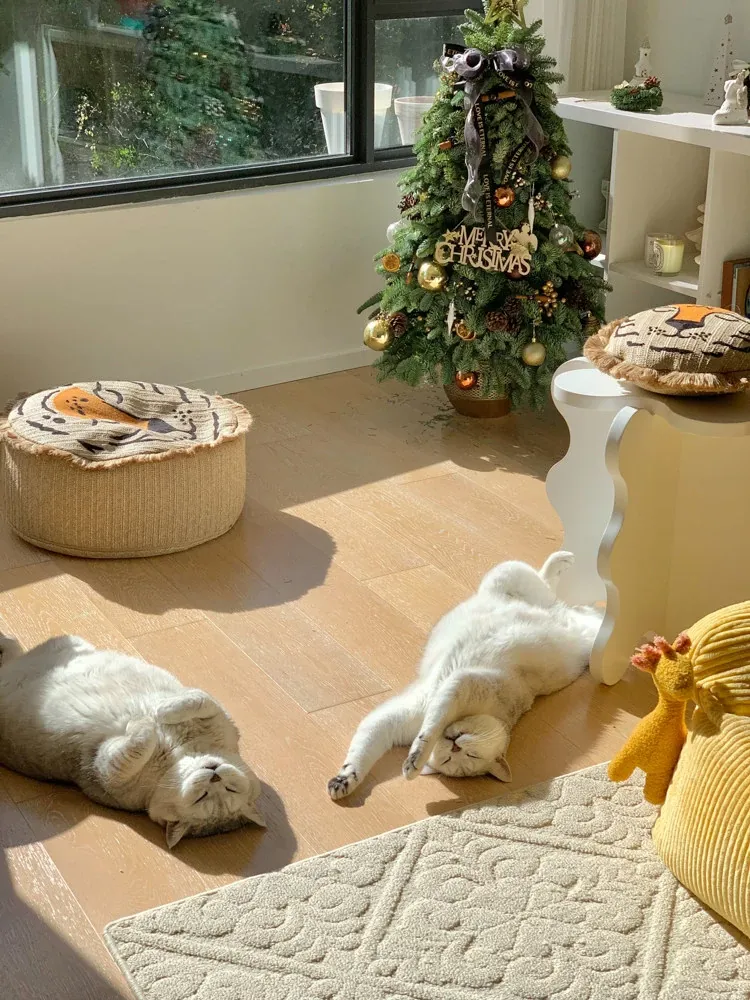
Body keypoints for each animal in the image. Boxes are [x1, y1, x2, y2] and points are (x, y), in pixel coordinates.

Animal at [0, 634, 264, 847]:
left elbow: (138, 743)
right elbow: (198, 699)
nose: (215, 775)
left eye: (223, 790)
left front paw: (147, 721)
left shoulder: (104, 768)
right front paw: (161, 712)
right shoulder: (220, 718)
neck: (179, 754)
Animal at [328, 551, 602, 800]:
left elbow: (428, 727)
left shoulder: (460, 683)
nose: (455, 744)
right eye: (450, 757)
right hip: (508, 573)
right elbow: (363, 750)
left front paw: (413, 763)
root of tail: (565, 614)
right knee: (545, 584)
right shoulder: (396, 717)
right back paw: (562, 560)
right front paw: (344, 780)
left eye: (469, 756)